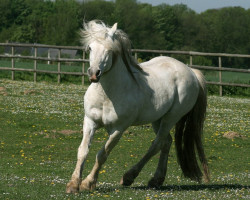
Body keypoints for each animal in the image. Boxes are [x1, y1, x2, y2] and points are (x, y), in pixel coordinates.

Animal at [66, 20, 209, 194]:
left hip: (171, 118)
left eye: (109, 50)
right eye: (90, 48)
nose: (94, 73)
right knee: (166, 142)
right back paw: (156, 180)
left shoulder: (118, 129)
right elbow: (83, 151)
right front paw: (73, 184)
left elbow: (102, 154)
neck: (106, 96)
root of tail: (191, 72)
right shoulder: (90, 121)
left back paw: (129, 177)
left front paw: (88, 183)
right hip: (158, 119)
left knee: (156, 144)